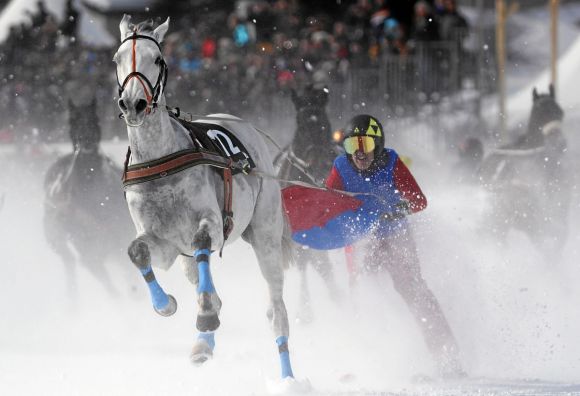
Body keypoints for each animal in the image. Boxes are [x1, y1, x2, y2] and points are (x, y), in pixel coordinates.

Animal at [44, 98, 134, 296]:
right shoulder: (89, 256)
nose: (87, 142)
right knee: (70, 265)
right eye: (73, 121)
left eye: (95, 119)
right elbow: (112, 289)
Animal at [113, 15, 294, 378]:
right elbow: (138, 251)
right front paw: (165, 304)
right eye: (117, 59)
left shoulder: (210, 222)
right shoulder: (163, 242)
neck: (160, 162)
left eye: (157, 59)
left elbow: (202, 242)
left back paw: (287, 376)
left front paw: (206, 315)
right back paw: (202, 344)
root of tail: (244, 124)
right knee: (202, 281)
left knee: (276, 311)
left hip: (266, 233)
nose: (133, 104)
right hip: (186, 258)